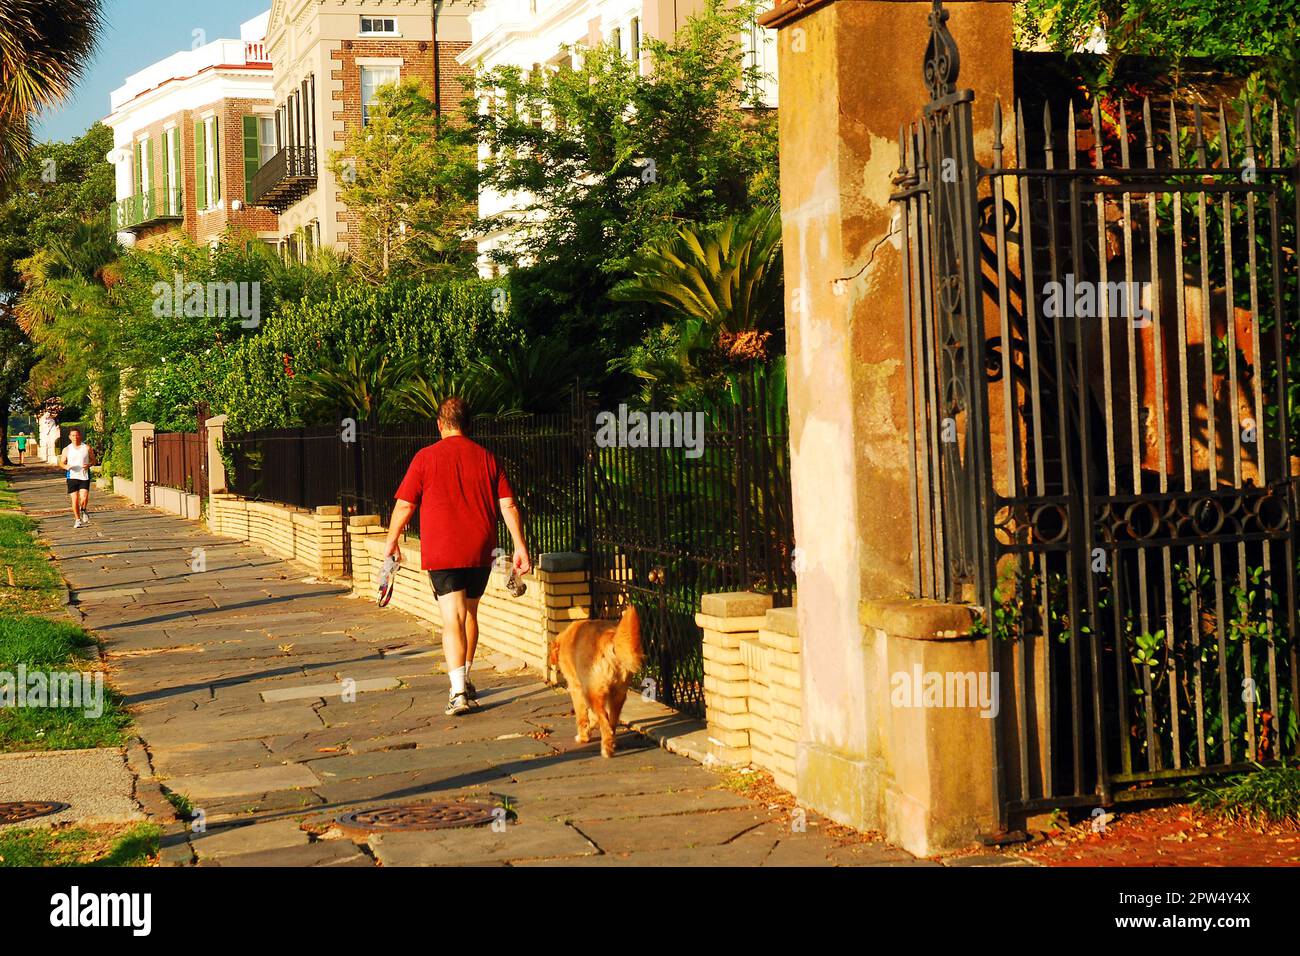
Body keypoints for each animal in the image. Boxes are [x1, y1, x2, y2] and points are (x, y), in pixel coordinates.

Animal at [548, 608, 644, 759]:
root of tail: (609, 639)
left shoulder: (577, 689)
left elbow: (582, 716)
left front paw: (583, 737)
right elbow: (592, 717)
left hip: (594, 694)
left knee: (605, 722)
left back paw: (606, 750)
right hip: (618, 695)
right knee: (611, 723)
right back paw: (611, 744)